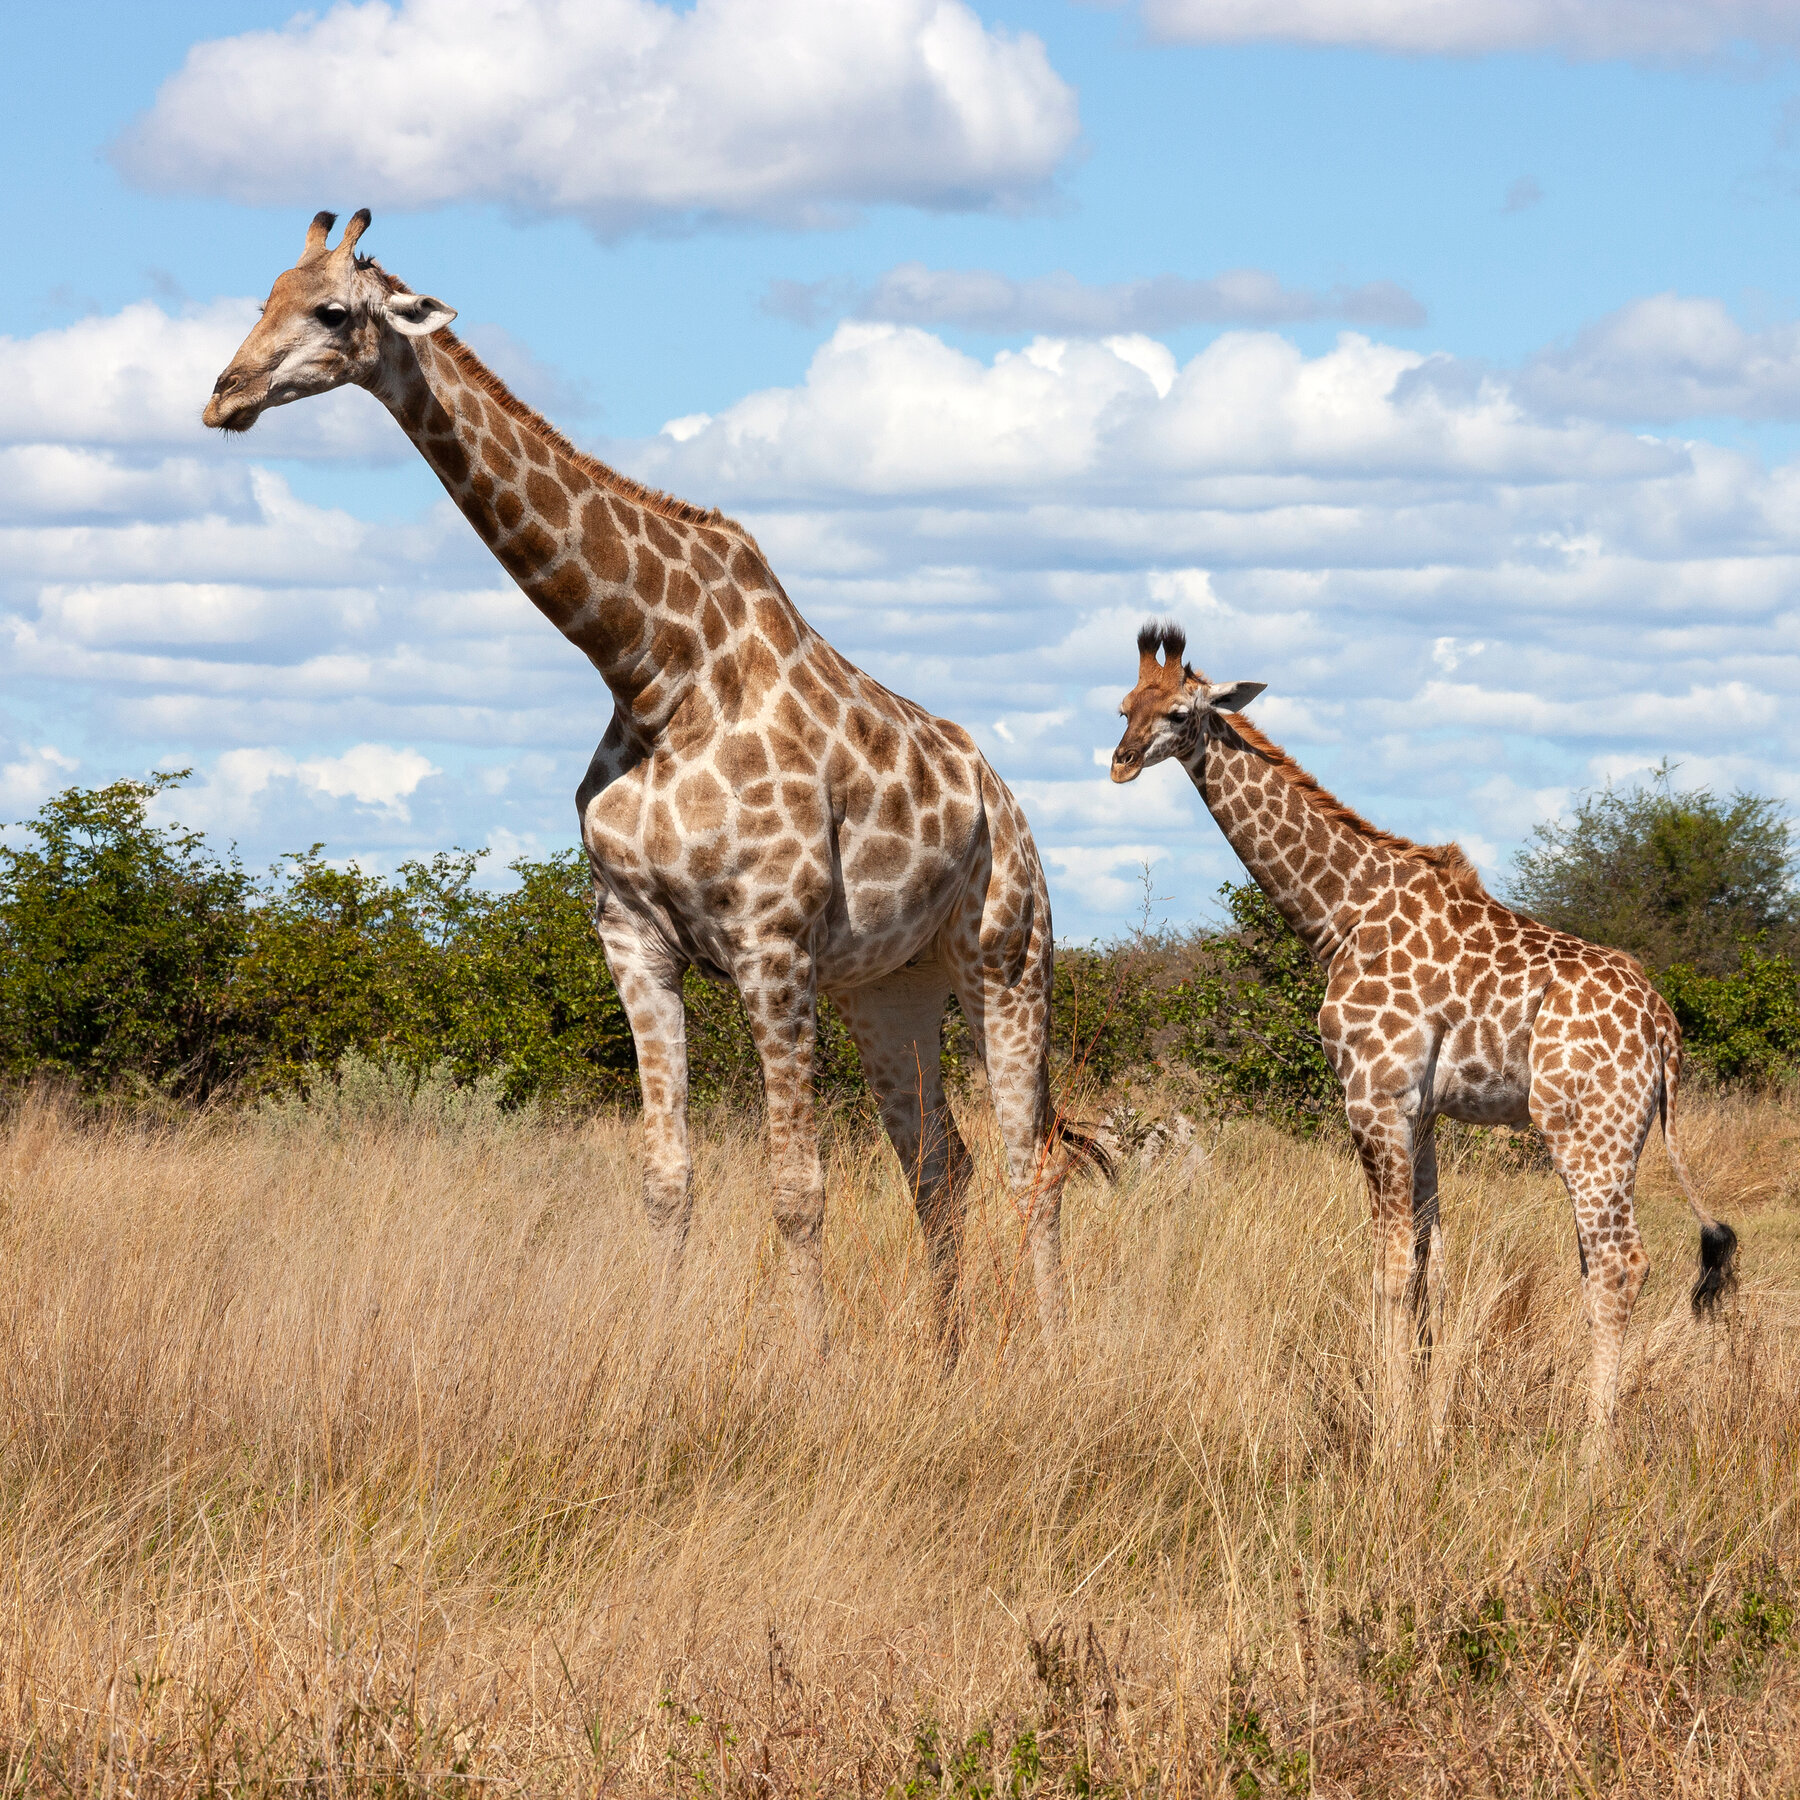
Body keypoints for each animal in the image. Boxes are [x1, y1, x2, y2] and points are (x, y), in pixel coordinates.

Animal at [197, 210, 1094, 1353]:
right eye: (262, 294)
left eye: (332, 311)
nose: (223, 394)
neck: (653, 669)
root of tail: (1007, 803)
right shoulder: (632, 936)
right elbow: (667, 1181)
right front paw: (660, 1357)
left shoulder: (770, 942)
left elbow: (797, 1188)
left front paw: (811, 1365)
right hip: (889, 990)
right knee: (944, 1168)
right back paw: (945, 1358)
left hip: (1009, 955)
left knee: (1037, 1163)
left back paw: (1054, 1355)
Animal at [1101, 619, 1735, 1432]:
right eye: (1125, 707)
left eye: (1179, 713)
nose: (1119, 764)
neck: (1340, 915)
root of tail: (1665, 1029)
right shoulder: (1422, 1110)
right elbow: (1429, 1254)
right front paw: (1429, 1408)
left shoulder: (1372, 1098)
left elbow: (1391, 1267)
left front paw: (1393, 1423)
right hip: (1617, 1138)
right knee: (1601, 1261)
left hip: (1584, 1131)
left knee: (1622, 1263)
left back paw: (1594, 1442)